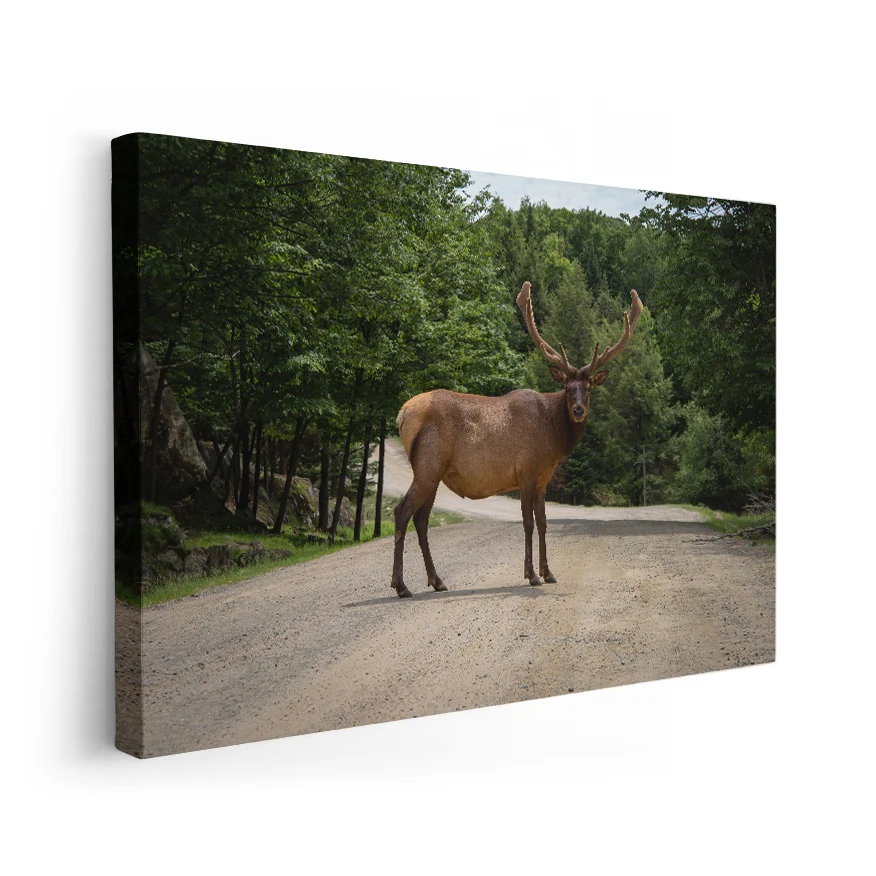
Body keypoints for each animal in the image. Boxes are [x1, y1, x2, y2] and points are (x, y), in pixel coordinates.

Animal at [391, 281, 643, 598]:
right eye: (567, 386)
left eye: (588, 388)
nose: (578, 410)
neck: (553, 439)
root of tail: (402, 415)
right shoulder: (526, 471)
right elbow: (527, 522)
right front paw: (531, 574)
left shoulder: (544, 479)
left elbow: (544, 522)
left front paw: (549, 572)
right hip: (427, 465)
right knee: (402, 512)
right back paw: (401, 586)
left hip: (433, 473)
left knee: (421, 519)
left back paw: (437, 581)